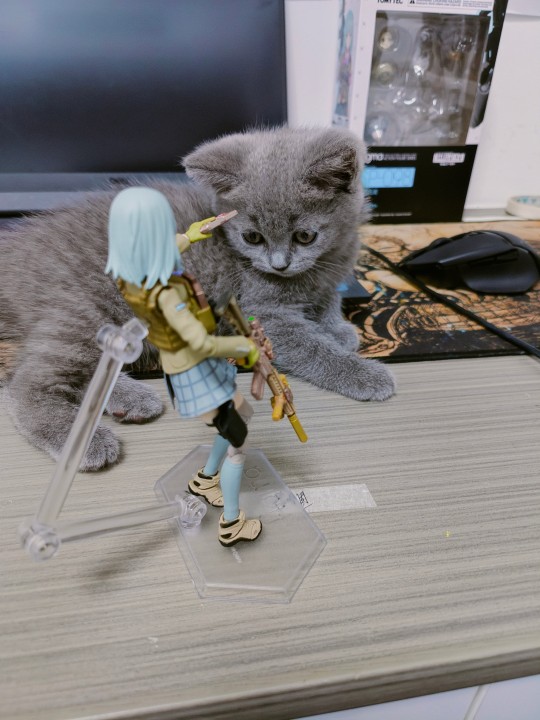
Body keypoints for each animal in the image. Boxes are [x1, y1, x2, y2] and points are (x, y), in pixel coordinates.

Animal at [0, 126, 395, 470]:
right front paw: (362, 372)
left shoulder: (331, 275)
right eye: (252, 237)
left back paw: (131, 400)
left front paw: (338, 329)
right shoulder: (258, 314)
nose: (279, 264)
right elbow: (310, 345)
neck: (317, 268)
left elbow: (329, 302)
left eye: (304, 236)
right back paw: (84, 443)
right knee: (27, 384)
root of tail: (17, 249)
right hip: (86, 307)